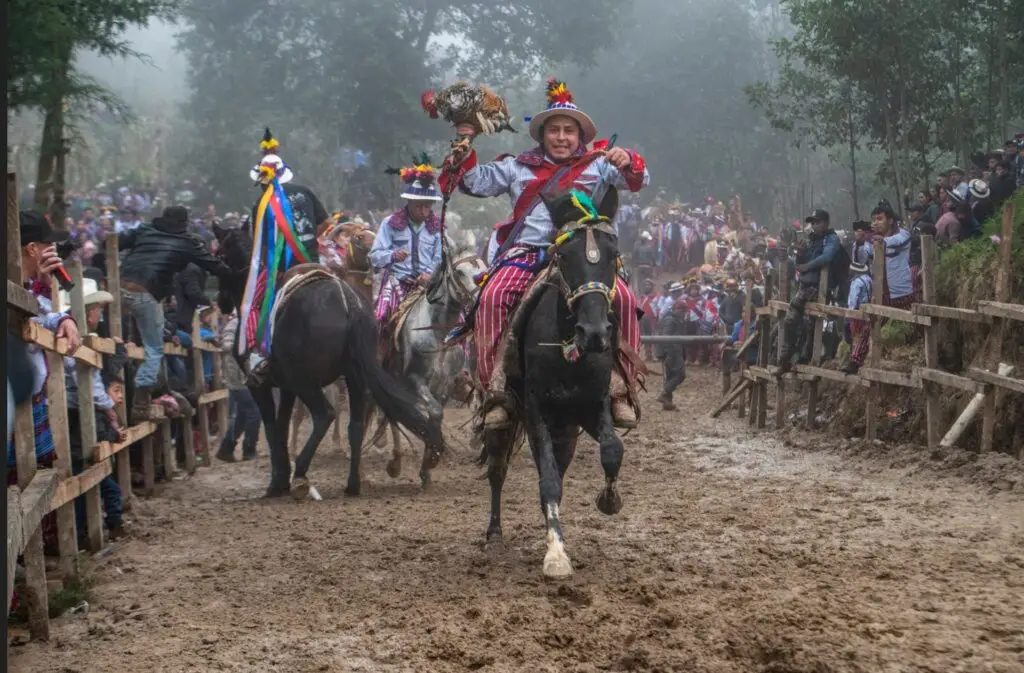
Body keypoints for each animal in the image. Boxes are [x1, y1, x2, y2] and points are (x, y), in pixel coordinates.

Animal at [214, 223, 442, 495]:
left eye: (219, 252)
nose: (220, 302)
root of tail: (348, 305)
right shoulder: (287, 386)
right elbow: (282, 425)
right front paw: (281, 477)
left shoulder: (260, 384)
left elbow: (270, 427)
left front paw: (277, 482)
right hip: (353, 378)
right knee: (355, 424)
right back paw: (353, 483)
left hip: (306, 382)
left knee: (325, 414)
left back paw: (302, 474)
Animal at [372, 242, 487, 483]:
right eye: (459, 272)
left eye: (483, 267)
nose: (480, 298)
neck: (437, 334)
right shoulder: (415, 380)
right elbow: (432, 412)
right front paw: (432, 453)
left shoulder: (445, 384)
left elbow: (437, 415)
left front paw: (429, 463)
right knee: (393, 415)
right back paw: (395, 462)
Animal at [483, 187, 626, 577]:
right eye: (564, 255)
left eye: (613, 254)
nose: (594, 333)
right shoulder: (536, 412)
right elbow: (548, 480)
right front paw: (556, 554)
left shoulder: (593, 406)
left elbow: (612, 451)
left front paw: (609, 499)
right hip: (511, 420)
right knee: (498, 469)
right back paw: (493, 533)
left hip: (566, 431)